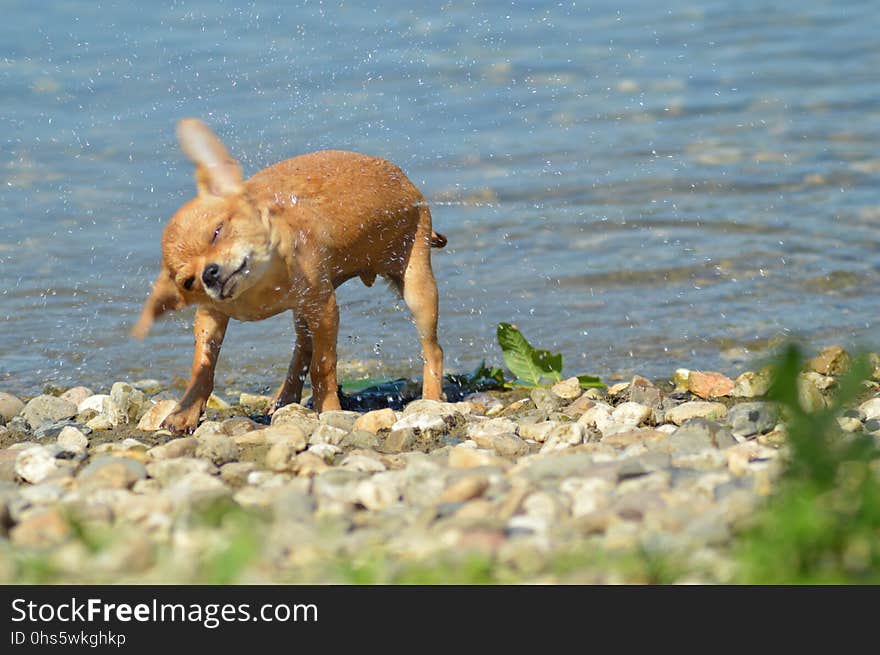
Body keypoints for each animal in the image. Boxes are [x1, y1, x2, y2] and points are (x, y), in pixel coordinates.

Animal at [131, 120, 444, 434]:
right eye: (188, 282)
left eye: (217, 232)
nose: (209, 273)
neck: (258, 289)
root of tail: (404, 181)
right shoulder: (210, 316)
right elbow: (202, 366)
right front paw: (185, 411)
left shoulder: (325, 309)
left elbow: (324, 365)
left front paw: (329, 409)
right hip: (304, 311)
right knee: (302, 349)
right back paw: (284, 398)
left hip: (417, 289)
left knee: (433, 350)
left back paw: (431, 400)